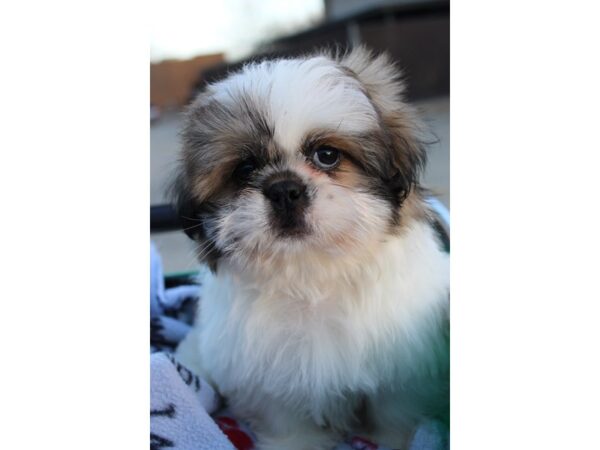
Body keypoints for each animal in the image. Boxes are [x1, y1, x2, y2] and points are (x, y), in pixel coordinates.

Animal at [171, 46, 448, 450]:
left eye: (327, 155)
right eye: (245, 169)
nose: (285, 189)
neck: (310, 273)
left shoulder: (404, 364)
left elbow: (393, 408)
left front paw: (395, 439)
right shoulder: (268, 373)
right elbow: (286, 414)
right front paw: (295, 443)